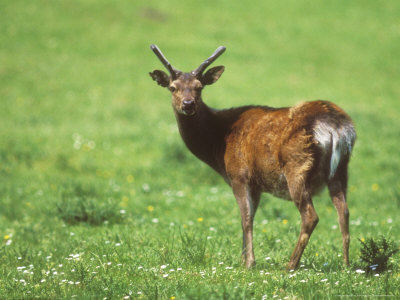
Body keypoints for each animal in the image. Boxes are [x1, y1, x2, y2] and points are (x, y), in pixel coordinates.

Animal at [149, 45, 356, 272]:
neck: (218, 145)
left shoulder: (239, 175)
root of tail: (336, 127)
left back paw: (291, 264)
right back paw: (346, 264)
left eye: (199, 87)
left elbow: (245, 219)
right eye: (173, 87)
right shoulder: (257, 184)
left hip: (297, 167)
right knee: (344, 212)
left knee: (311, 216)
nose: (188, 104)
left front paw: (249, 263)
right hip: (341, 169)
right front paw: (242, 259)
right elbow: (251, 217)